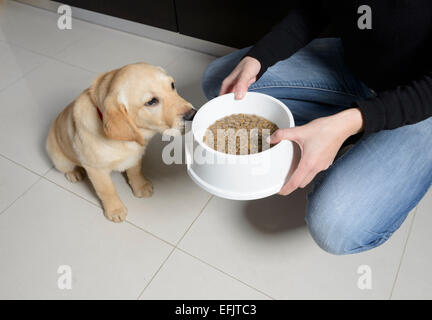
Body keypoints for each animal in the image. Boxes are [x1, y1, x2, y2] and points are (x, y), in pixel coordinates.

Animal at [46, 62, 195, 222]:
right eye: (151, 102)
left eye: (172, 85)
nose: (193, 115)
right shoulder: (96, 169)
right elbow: (107, 190)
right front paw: (115, 209)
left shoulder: (135, 156)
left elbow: (135, 171)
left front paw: (140, 186)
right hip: (59, 158)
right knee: (66, 167)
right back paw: (74, 173)